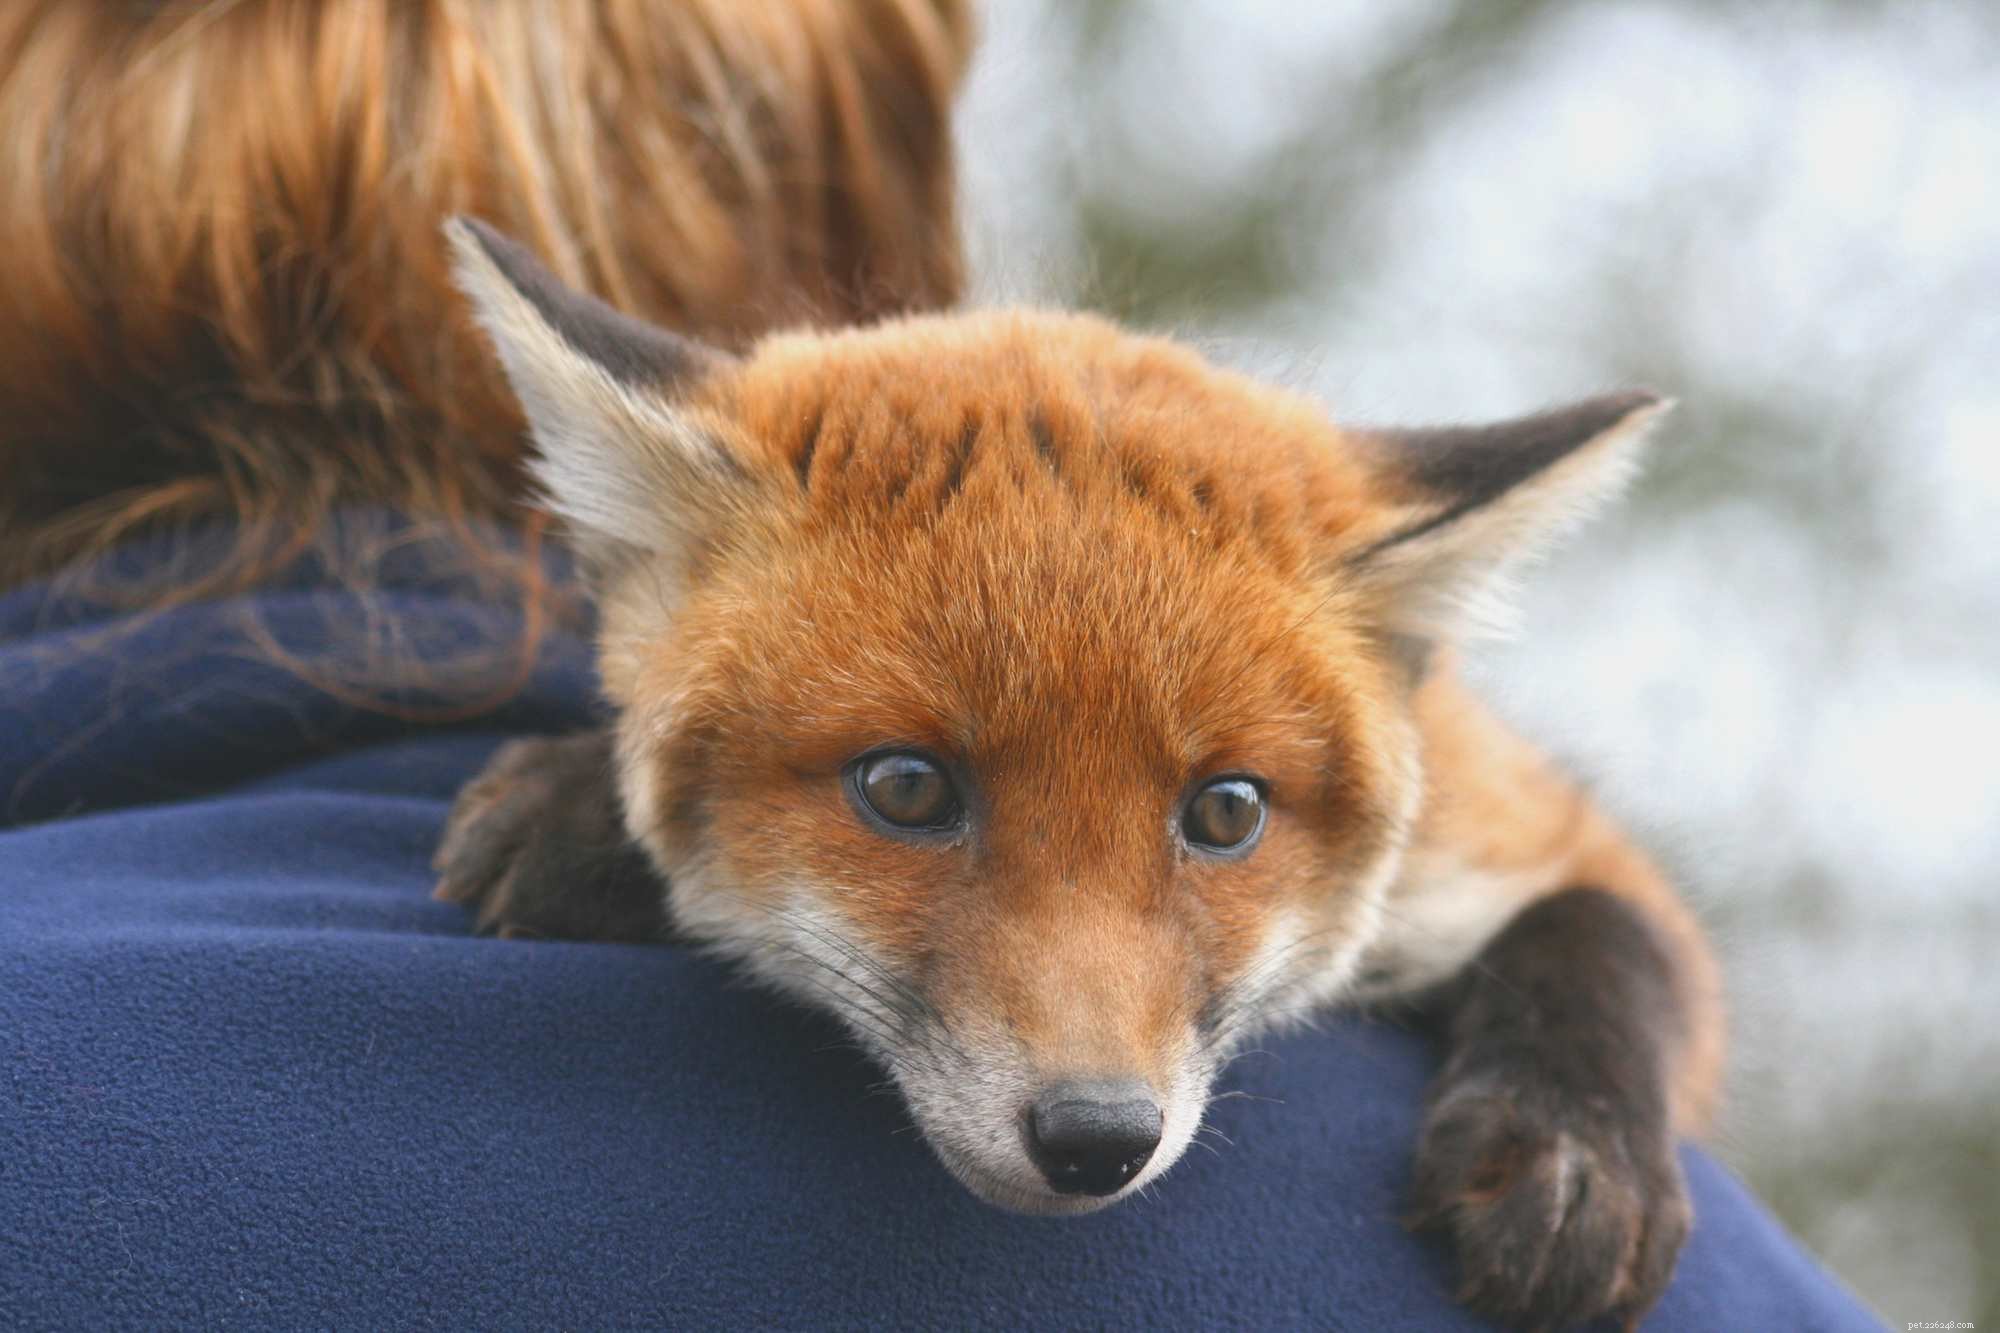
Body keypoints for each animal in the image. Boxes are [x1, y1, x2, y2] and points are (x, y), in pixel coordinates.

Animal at [432, 217, 1725, 1332]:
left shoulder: (1517, 823)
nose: (1096, 1137)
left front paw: (1571, 1154)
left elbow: (1612, 933)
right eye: (906, 788)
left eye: (1225, 810)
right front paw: (579, 812)